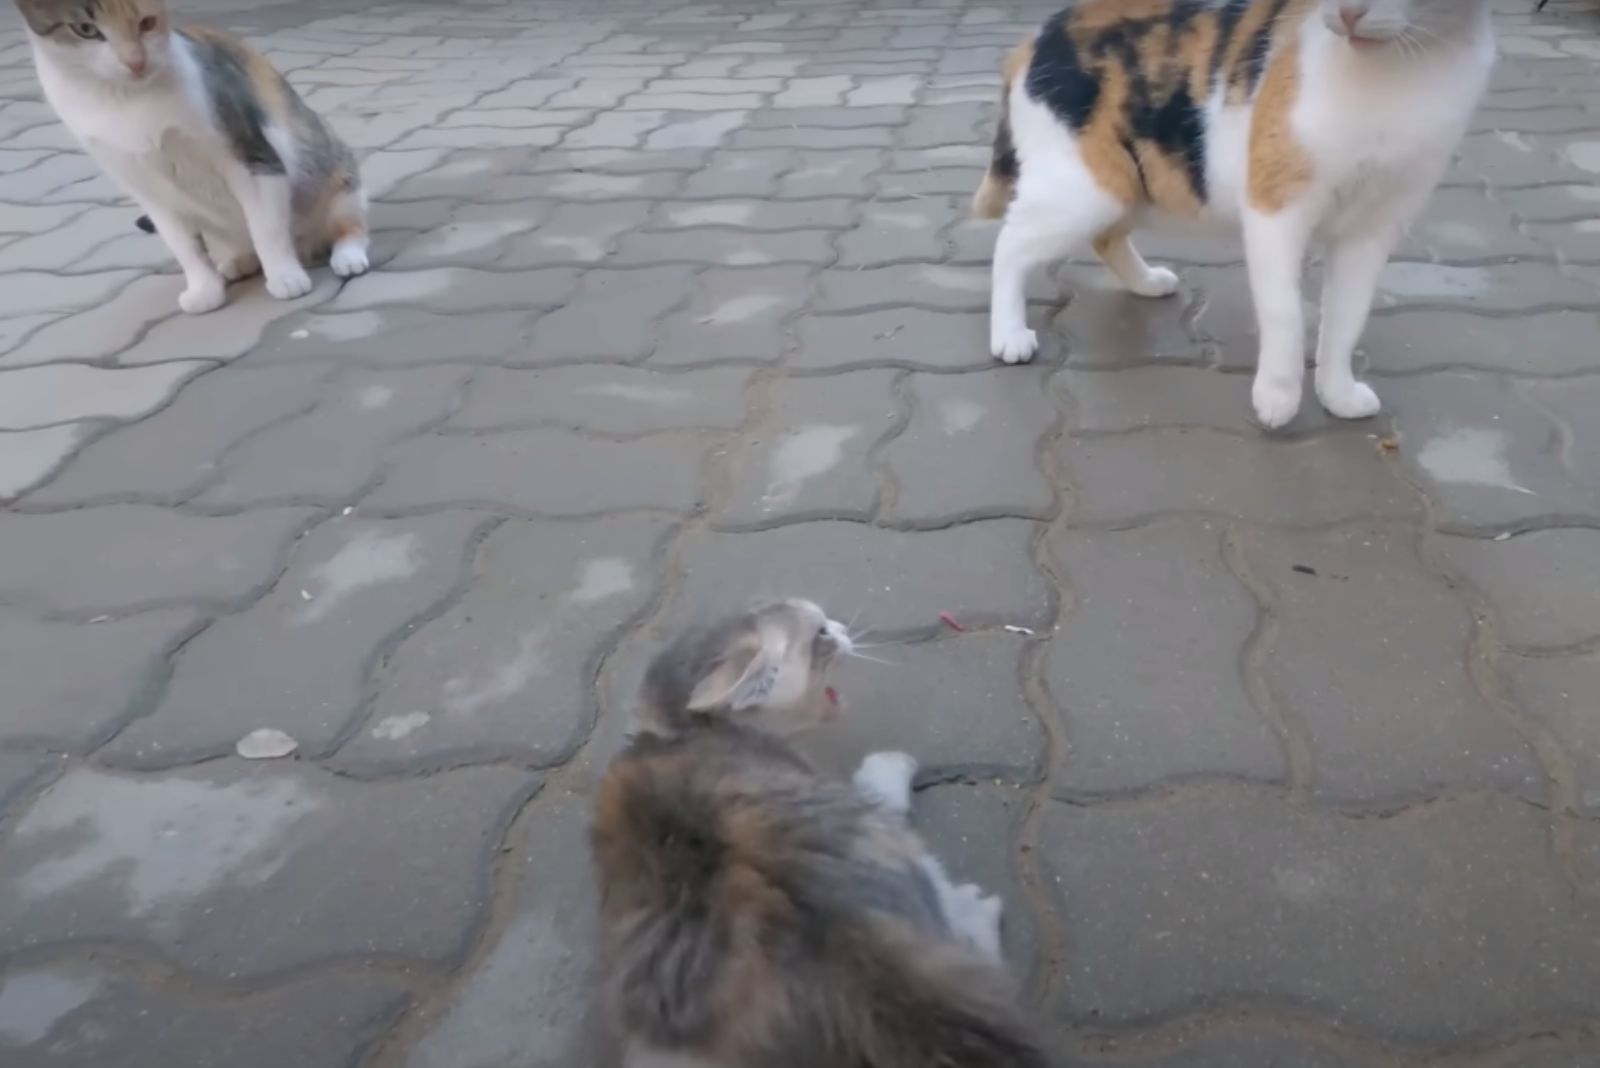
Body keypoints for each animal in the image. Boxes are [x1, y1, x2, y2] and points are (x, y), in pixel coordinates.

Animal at [16, 0, 371, 314]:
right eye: (86, 29)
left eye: (147, 23)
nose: (135, 62)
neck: (124, 98)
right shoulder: (145, 187)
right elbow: (184, 245)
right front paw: (204, 289)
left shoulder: (249, 152)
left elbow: (266, 227)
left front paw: (284, 275)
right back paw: (239, 260)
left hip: (332, 172)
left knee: (347, 223)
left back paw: (345, 255)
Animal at [588, 601, 1049, 1068]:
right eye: (822, 632)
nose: (843, 627)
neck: (672, 729)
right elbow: (881, 789)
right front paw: (891, 765)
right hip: (890, 846)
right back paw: (975, 911)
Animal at [972, 1, 1497, 425]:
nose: (1351, 12)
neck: (1397, 69)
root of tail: (1036, 36)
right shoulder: (1274, 208)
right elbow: (1285, 313)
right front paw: (1278, 398)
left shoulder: (1372, 229)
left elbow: (1347, 319)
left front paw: (1338, 394)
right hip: (1086, 188)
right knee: (1010, 244)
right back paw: (1009, 333)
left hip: (1132, 181)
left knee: (1105, 237)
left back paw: (1146, 282)